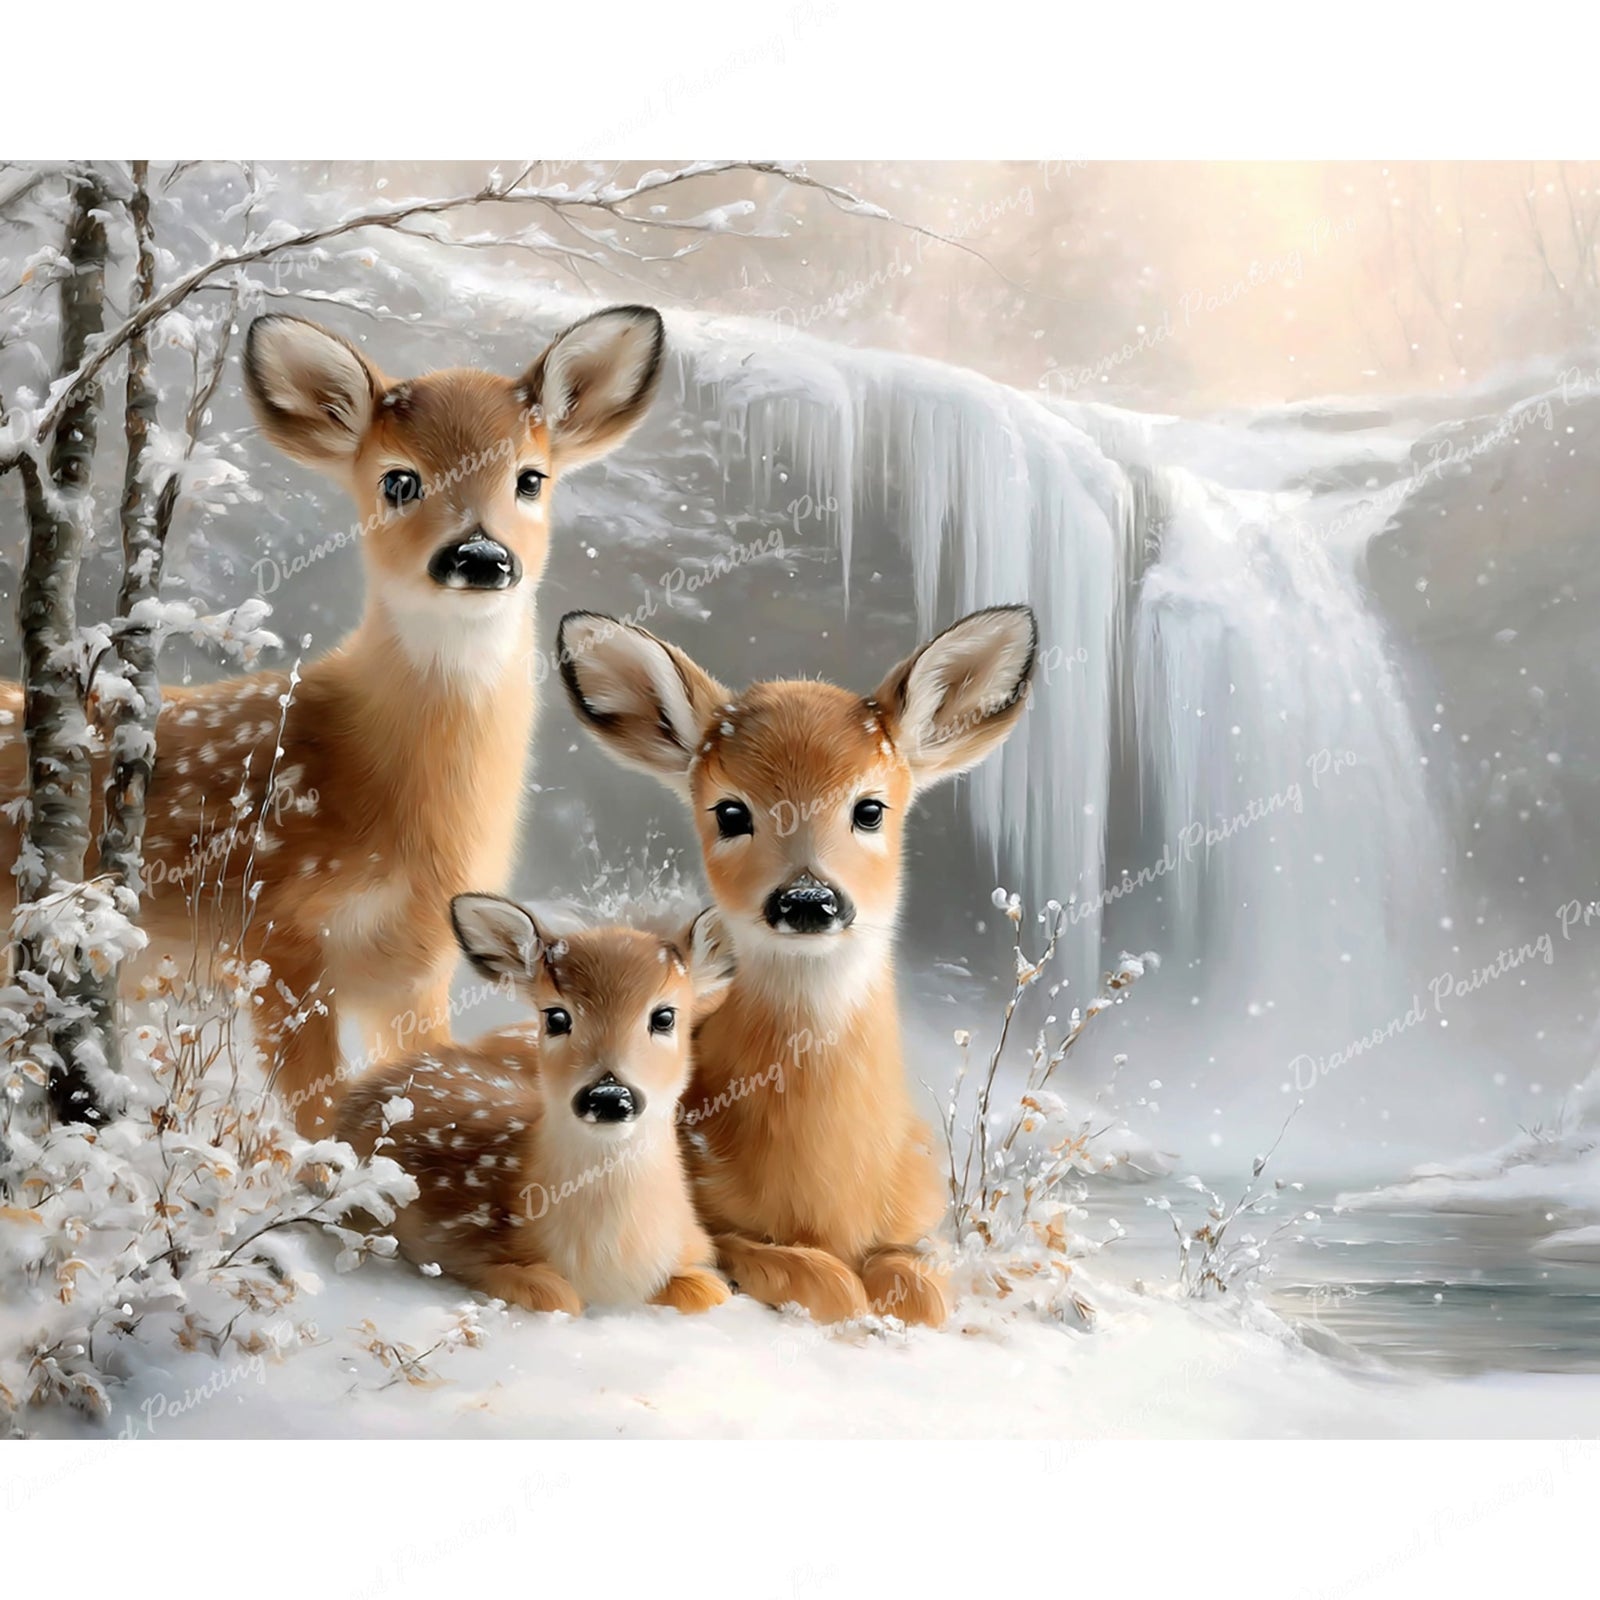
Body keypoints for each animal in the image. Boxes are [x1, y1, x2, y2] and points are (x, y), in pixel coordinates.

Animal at [0, 305, 665, 1134]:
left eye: (530, 478)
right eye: (400, 479)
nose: (480, 555)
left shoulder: (416, 963)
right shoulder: (275, 929)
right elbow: (318, 1114)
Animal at [337, 893, 736, 1315]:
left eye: (664, 1016)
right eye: (557, 1016)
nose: (608, 1095)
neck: (611, 1266)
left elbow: (709, 1290)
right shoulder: (455, 1245)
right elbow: (556, 1296)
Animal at [555, 604, 1038, 1327]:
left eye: (870, 807)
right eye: (731, 811)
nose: (807, 898)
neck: (828, 1198)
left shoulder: (921, 1223)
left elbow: (923, 1293)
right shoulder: (708, 1220)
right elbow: (827, 1285)